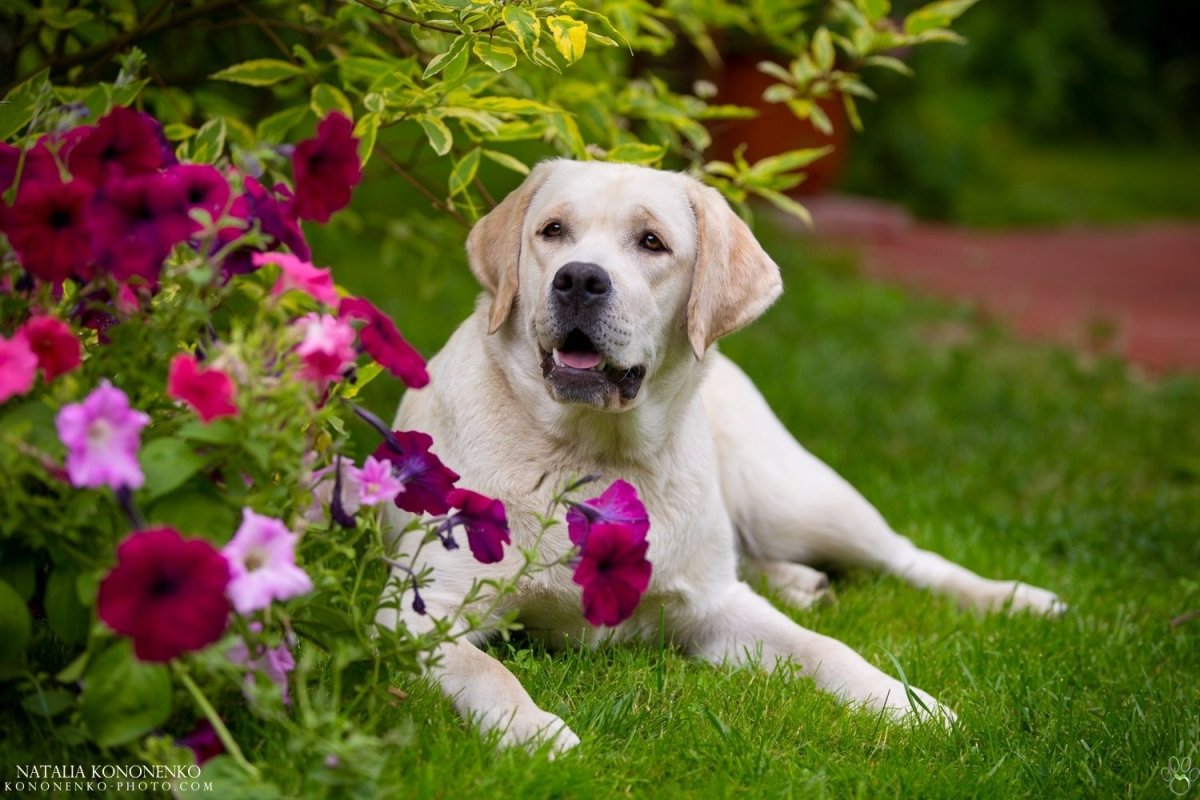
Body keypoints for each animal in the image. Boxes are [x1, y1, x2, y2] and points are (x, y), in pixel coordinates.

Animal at [379, 159, 1065, 753]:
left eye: (651, 242)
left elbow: (826, 649)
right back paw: (801, 581)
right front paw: (534, 733)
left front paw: (905, 702)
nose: (577, 279)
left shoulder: (716, 610)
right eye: (552, 231)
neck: (592, 452)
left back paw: (1017, 598)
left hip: (796, 500)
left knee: (906, 556)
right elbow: (486, 670)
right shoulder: (419, 612)